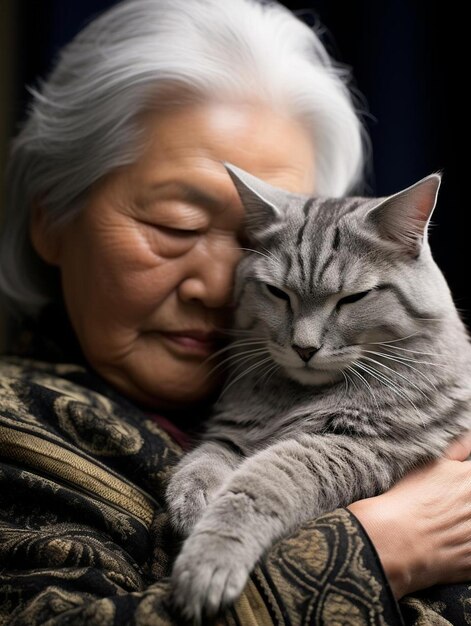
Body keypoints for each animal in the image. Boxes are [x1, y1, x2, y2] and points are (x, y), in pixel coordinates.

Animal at [165, 161, 471, 620]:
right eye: (277, 292)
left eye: (353, 299)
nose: (304, 348)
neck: (298, 397)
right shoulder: (236, 431)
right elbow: (205, 459)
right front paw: (192, 500)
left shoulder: (356, 446)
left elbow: (261, 481)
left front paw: (209, 559)